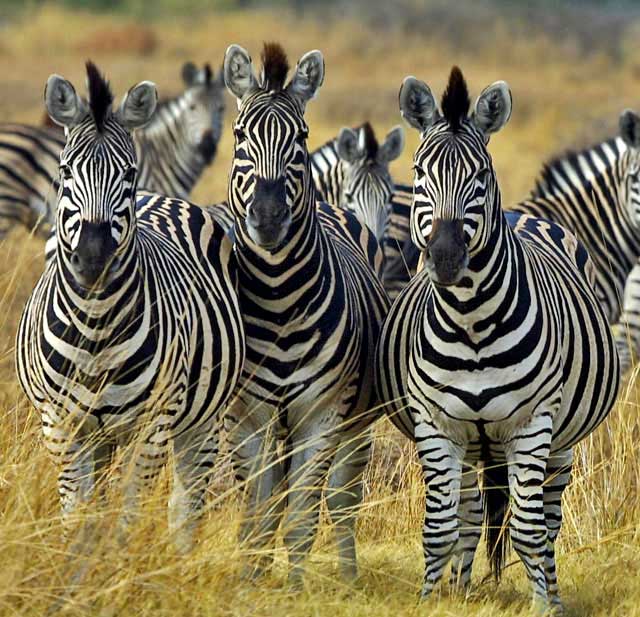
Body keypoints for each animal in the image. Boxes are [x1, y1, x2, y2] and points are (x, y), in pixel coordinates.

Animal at [222, 42, 389, 585]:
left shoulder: (322, 412)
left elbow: (302, 514)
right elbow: (257, 509)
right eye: (239, 136)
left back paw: (348, 574)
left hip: (354, 423)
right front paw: (252, 580)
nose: (269, 217)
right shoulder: (246, 417)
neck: (277, 299)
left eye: (301, 138)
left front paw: (294, 588)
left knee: (340, 498)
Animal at [376, 67, 619, 612]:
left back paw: (551, 592)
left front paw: (543, 606)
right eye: (419, 173)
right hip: (472, 445)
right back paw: (462, 585)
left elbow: (529, 531)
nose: (446, 258)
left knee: (547, 521)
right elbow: (438, 529)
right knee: (468, 513)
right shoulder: (435, 424)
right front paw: (430, 600)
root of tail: (523, 214)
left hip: (559, 443)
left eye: (481, 177)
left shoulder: (532, 424)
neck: (470, 322)